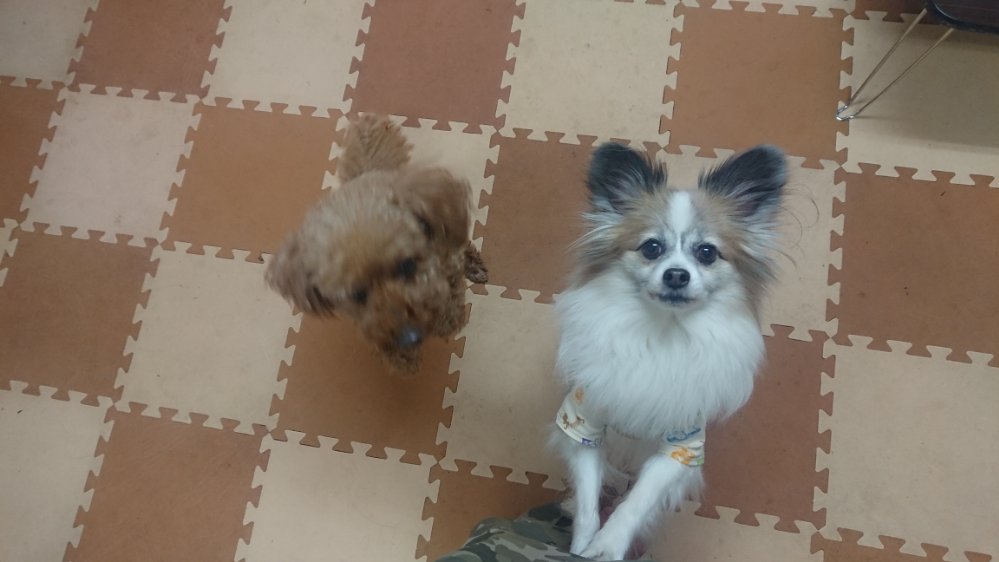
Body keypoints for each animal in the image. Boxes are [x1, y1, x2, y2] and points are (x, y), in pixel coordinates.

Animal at [266, 114, 487, 373]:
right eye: (357, 294)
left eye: (407, 265)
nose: (410, 338)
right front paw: (401, 359)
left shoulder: (445, 265)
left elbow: (449, 296)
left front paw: (446, 320)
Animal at [551, 142, 786, 559]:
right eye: (651, 248)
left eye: (707, 252)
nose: (677, 274)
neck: (663, 332)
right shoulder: (583, 423)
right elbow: (587, 499)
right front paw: (581, 544)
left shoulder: (682, 444)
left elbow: (638, 500)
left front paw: (608, 545)